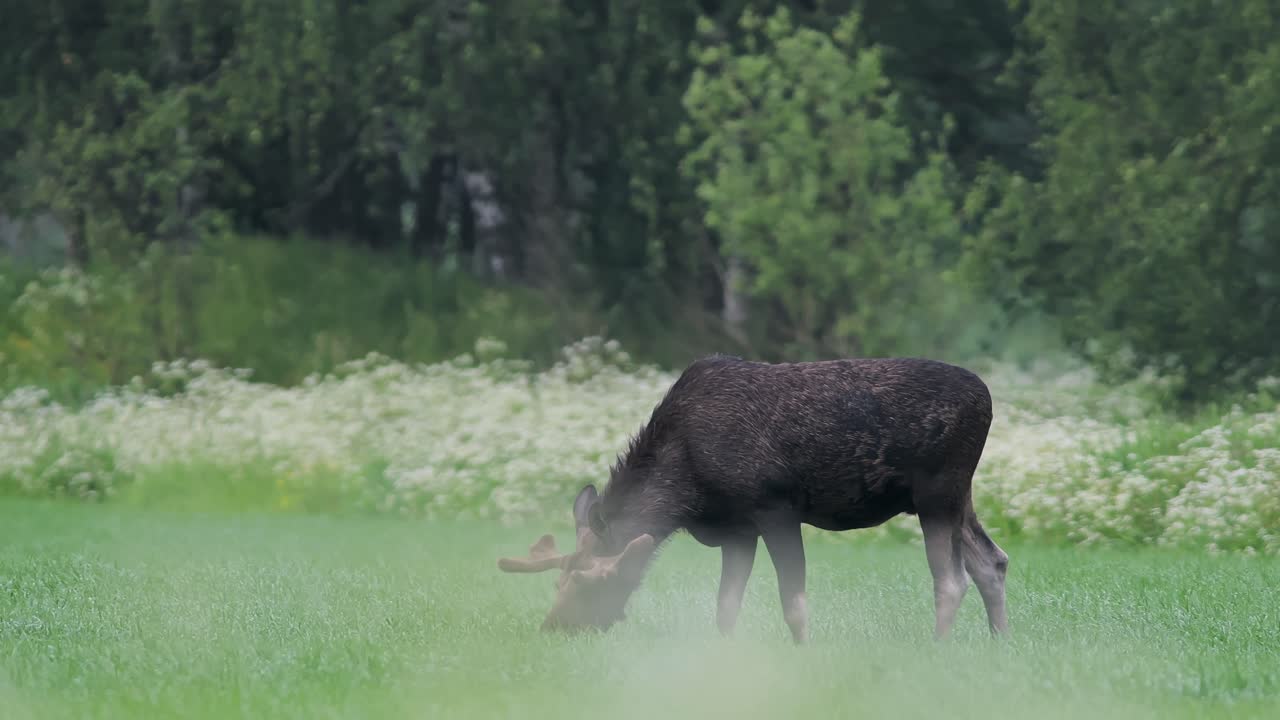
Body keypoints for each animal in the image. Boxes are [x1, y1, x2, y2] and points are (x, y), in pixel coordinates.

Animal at [497, 355, 1009, 643]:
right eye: (557, 582)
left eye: (589, 584)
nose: (555, 628)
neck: (683, 489)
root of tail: (988, 398)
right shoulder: (736, 530)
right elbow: (725, 608)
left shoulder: (775, 509)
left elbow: (793, 600)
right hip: (956, 497)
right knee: (993, 560)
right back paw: (999, 644)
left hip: (937, 494)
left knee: (952, 580)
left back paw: (938, 649)